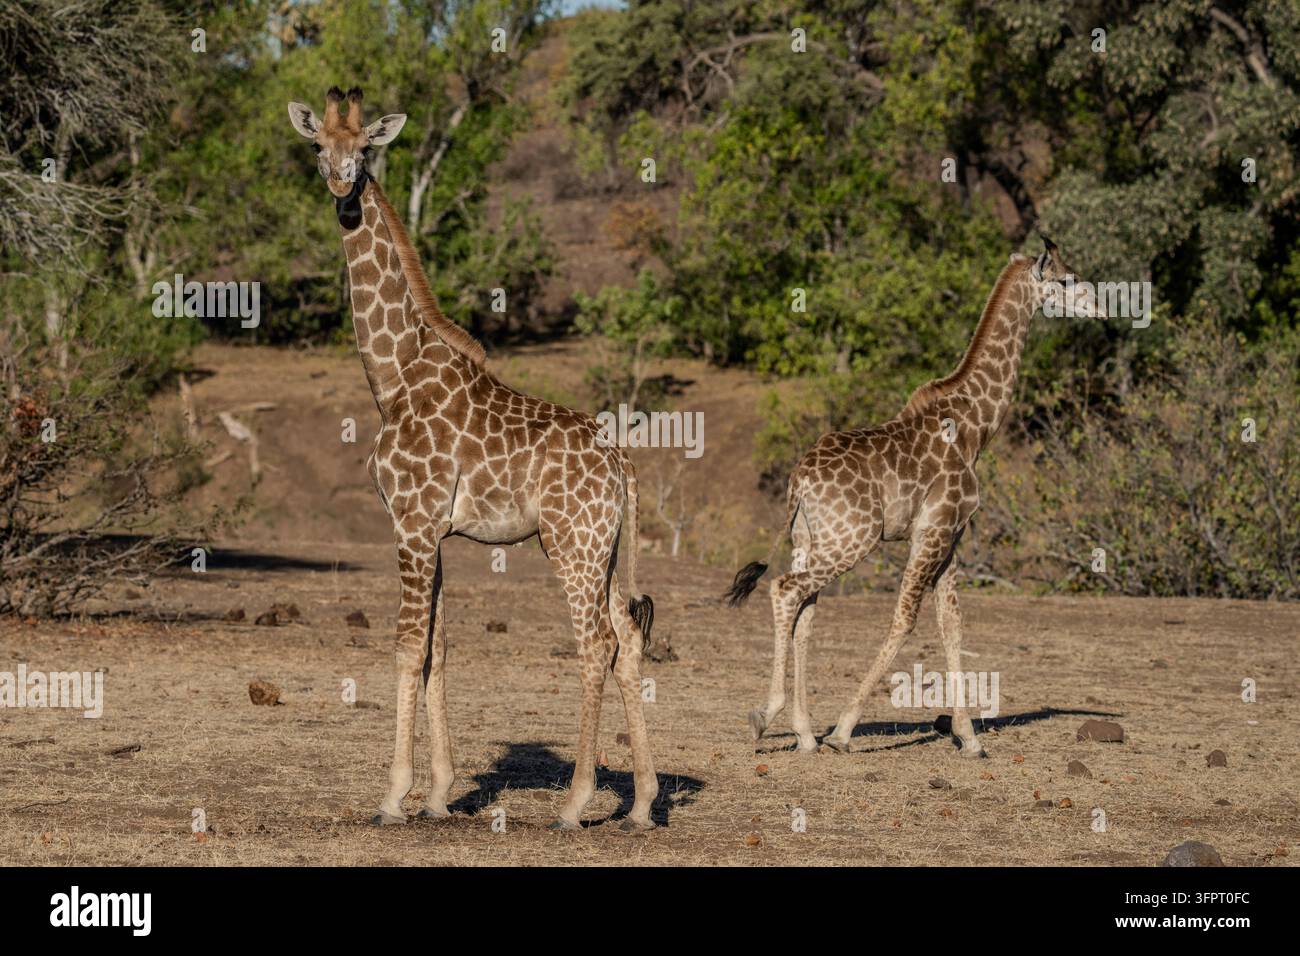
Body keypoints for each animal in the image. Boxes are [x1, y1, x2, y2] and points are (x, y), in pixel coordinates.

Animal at [288, 87, 658, 831]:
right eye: (318, 146)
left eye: (365, 147)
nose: (342, 186)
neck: (392, 375)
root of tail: (622, 466)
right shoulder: (435, 531)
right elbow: (439, 649)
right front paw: (436, 795)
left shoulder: (410, 522)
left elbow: (408, 648)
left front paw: (393, 797)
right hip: (604, 547)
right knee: (628, 638)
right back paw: (641, 803)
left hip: (569, 543)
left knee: (596, 645)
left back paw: (576, 803)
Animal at [725, 240, 1103, 755]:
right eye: (1066, 280)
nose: (1102, 307)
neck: (976, 425)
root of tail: (798, 481)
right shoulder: (933, 529)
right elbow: (907, 618)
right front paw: (844, 730)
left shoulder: (952, 534)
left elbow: (952, 624)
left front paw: (969, 737)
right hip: (854, 540)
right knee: (785, 590)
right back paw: (768, 717)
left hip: (811, 540)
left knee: (805, 610)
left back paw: (803, 732)